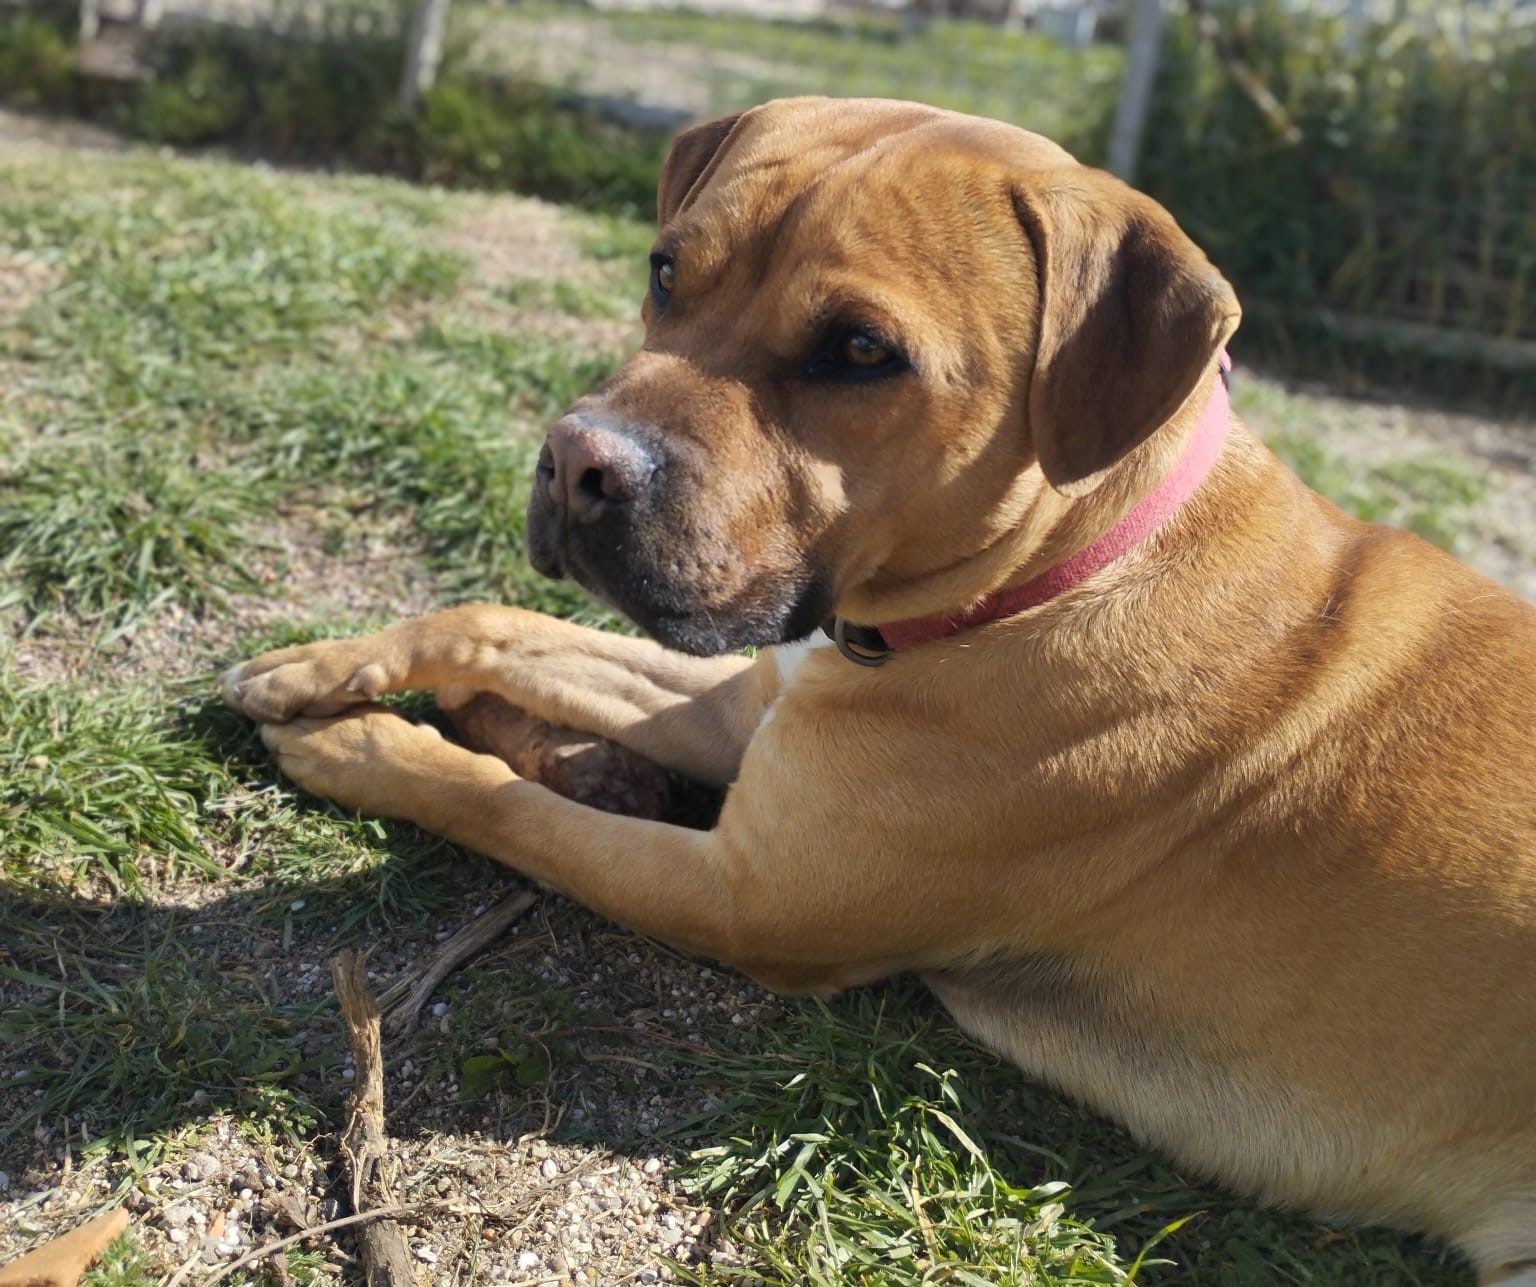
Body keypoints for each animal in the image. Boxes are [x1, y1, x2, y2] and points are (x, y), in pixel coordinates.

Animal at [222, 97, 1536, 1282]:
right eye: (663, 270)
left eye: (861, 351)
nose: (573, 462)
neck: (1050, 572)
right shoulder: (751, 702)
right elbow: (500, 623)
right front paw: (323, 664)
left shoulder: (743, 895)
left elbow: (508, 806)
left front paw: (360, 745)